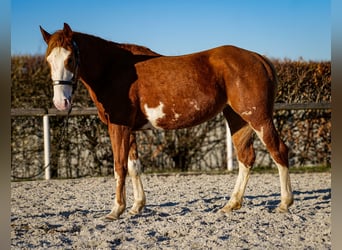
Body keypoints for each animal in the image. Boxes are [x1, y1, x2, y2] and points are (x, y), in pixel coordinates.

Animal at [39, 23, 292, 219]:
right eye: (48, 60)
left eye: (70, 59)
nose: (61, 102)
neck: (114, 69)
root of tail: (259, 58)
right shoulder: (130, 129)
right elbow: (134, 167)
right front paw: (136, 207)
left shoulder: (118, 127)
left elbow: (119, 167)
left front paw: (116, 210)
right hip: (238, 118)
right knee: (246, 157)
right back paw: (231, 205)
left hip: (258, 117)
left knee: (278, 150)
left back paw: (284, 203)